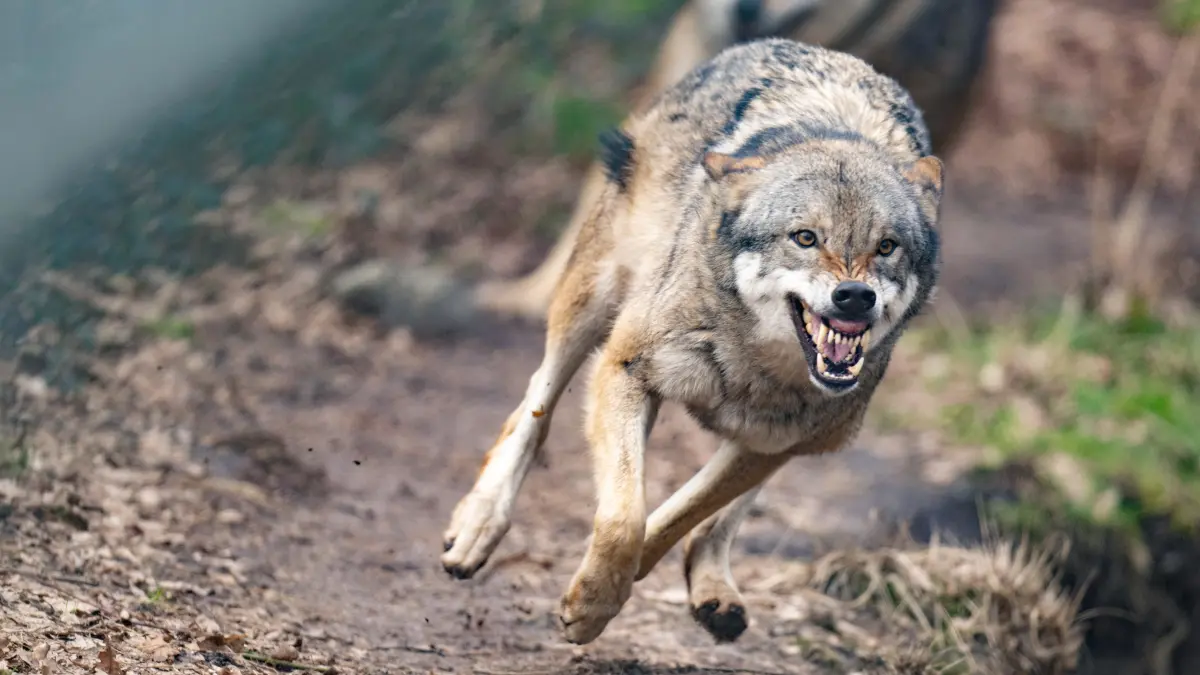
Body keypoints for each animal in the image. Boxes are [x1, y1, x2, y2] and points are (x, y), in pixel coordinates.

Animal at [440, 38, 945, 645]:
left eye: (887, 247)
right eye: (805, 238)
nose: (854, 297)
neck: (752, 366)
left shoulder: (771, 444)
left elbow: (675, 516)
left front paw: (596, 598)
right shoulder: (625, 370)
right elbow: (624, 519)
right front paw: (592, 605)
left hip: (810, 440)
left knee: (721, 520)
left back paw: (714, 590)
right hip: (590, 305)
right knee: (534, 406)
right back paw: (476, 527)